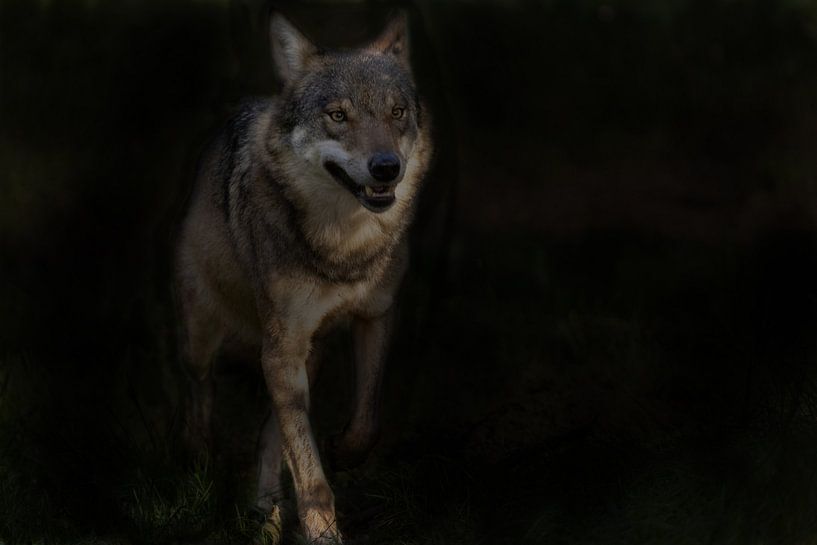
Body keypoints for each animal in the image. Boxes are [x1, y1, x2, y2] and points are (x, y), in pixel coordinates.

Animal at [174, 10, 432, 543]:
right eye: (338, 116)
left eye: (397, 112)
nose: (386, 168)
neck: (344, 248)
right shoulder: (282, 350)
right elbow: (309, 471)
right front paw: (323, 533)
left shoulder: (376, 316)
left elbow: (366, 421)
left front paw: (342, 454)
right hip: (205, 340)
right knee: (200, 390)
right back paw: (199, 459)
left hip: (305, 360)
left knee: (267, 437)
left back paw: (267, 514)